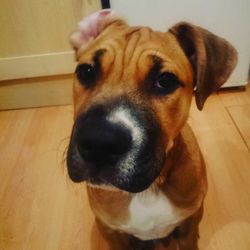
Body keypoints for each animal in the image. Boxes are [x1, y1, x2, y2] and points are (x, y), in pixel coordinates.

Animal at [66, 8, 236, 249]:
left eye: (165, 80)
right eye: (86, 71)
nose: (100, 142)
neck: (148, 190)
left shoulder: (189, 223)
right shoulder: (110, 231)